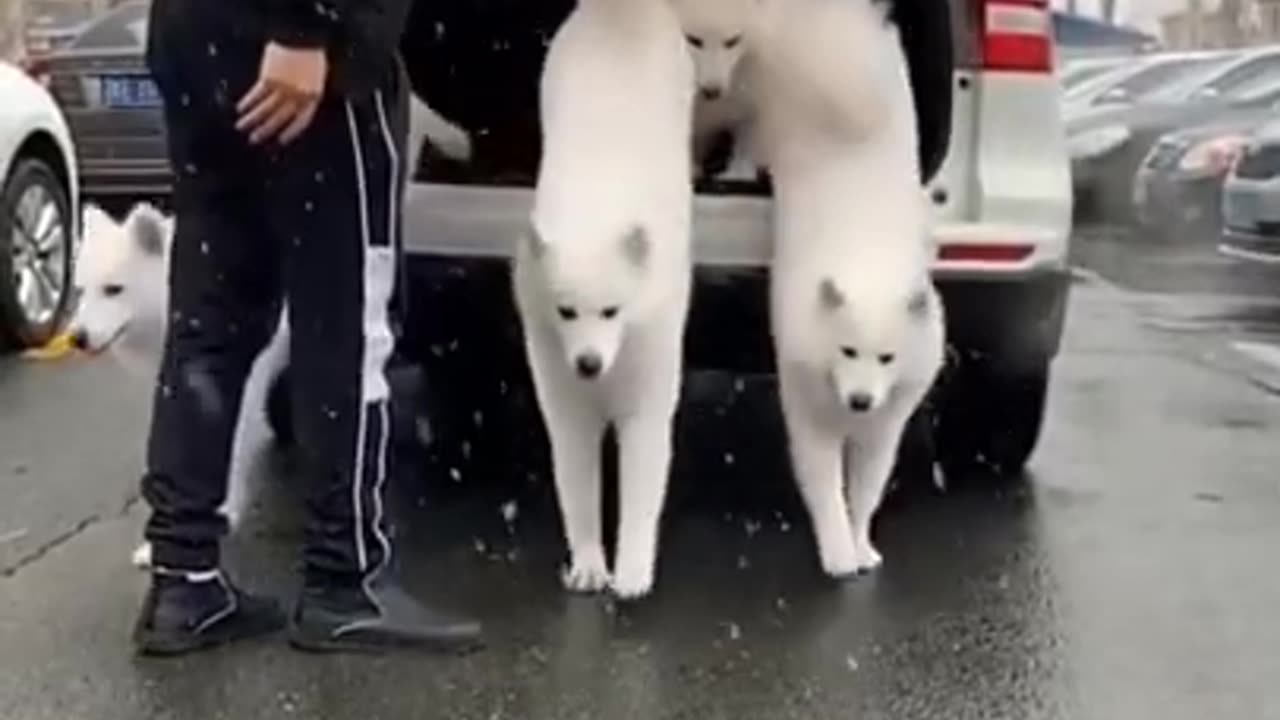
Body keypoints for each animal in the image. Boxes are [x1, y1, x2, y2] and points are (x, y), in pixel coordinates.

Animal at [517, 0, 701, 597]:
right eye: (565, 311)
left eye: (613, 310)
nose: (589, 363)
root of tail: (617, 12)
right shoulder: (557, 380)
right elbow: (575, 472)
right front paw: (589, 565)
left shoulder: (649, 372)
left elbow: (643, 472)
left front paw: (633, 571)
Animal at [752, 0, 947, 573]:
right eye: (846, 350)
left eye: (887, 358)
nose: (860, 401)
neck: (867, 254)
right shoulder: (809, 411)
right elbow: (824, 486)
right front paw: (839, 553)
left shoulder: (885, 427)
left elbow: (867, 490)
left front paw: (863, 545)